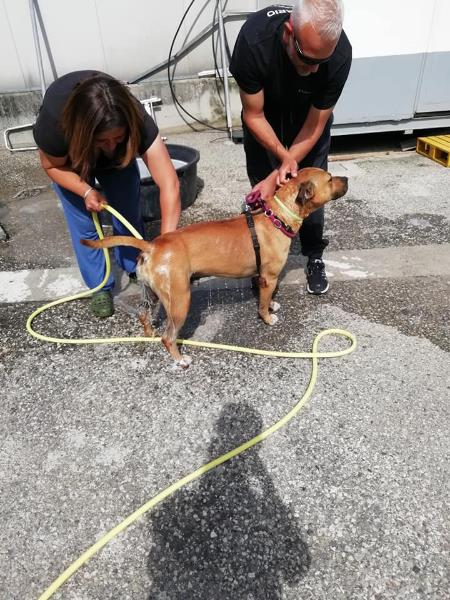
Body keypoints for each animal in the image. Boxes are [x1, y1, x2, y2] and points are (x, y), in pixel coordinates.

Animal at [81, 168, 348, 367]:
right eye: (329, 178)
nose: (346, 179)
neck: (278, 215)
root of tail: (152, 245)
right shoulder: (269, 276)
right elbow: (262, 302)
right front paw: (267, 317)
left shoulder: (263, 277)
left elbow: (267, 296)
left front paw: (272, 304)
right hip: (179, 300)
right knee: (169, 337)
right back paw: (179, 359)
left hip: (151, 294)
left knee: (143, 315)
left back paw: (149, 335)